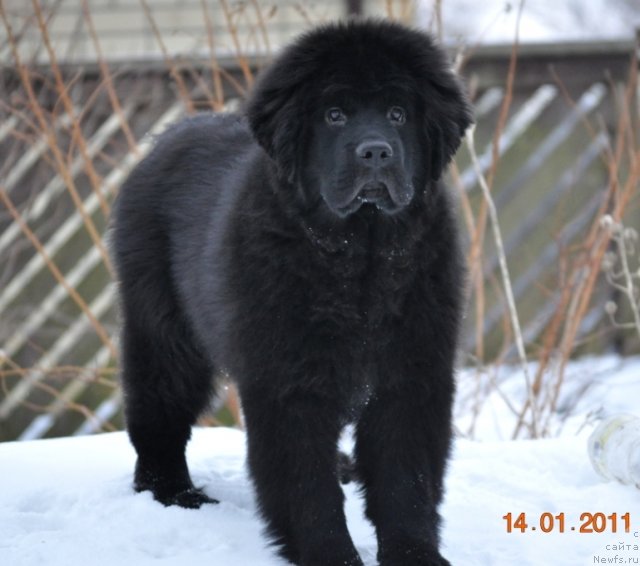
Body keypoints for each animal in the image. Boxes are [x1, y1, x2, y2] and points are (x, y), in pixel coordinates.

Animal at [111, 17, 470, 566]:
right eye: (335, 115)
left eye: (398, 114)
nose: (376, 151)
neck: (361, 261)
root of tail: (164, 140)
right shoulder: (289, 381)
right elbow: (305, 484)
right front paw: (332, 555)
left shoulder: (411, 373)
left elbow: (406, 479)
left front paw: (415, 553)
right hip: (164, 332)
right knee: (158, 412)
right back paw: (174, 493)